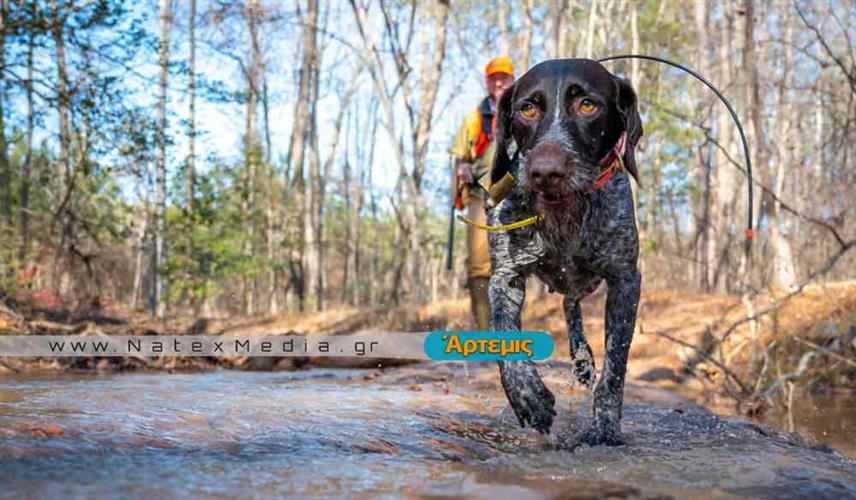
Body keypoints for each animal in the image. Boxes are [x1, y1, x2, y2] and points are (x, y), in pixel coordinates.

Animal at [488, 58, 640, 446]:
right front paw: (528, 396)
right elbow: (503, 335)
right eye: (527, 108)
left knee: (572, 307)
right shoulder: (504, 277)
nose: (545, 172)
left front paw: (604, 428)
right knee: (570, 305)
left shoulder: (626, 280)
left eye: (587, 104)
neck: (563, 215)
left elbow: (616, 367)